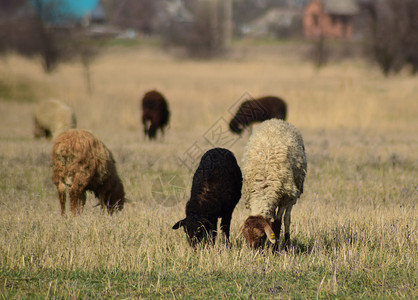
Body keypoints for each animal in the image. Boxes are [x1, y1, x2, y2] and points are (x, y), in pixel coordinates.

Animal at [238, 119, 306, 251]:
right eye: (245, 236)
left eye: (261, 236)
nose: (252, 252)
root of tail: (276, 120)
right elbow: (272, 222)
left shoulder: (284, 198)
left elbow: (278, 222)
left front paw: (275, 249)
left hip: (292, 196)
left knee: (286, 219)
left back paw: (287, 244)